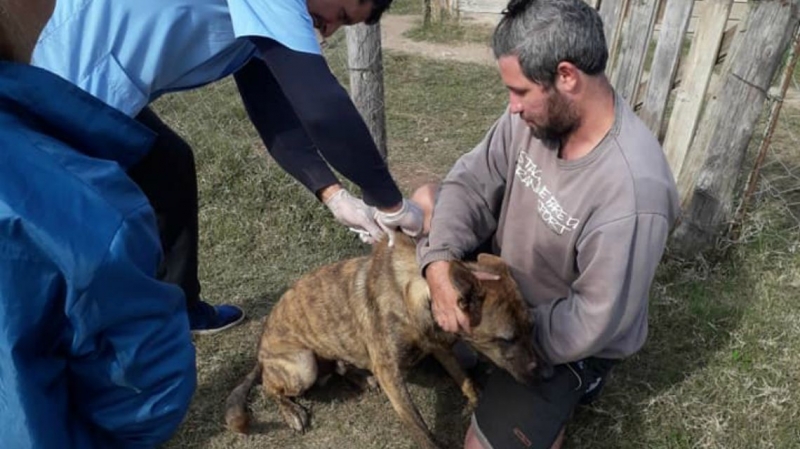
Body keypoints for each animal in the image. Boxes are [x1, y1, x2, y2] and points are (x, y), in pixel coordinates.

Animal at [223, 233, 544, 446]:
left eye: (531, 327)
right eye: (507, 339)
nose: (541, 374)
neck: (420, 292)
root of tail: (261, 351)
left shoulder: (439, 345)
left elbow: (462, 376)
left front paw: (476, 397)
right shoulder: (391, 373)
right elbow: (419, 426)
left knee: (339, 367)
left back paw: (359, 377)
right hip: (303, 365)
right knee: (270, 387)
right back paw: (292, 411)